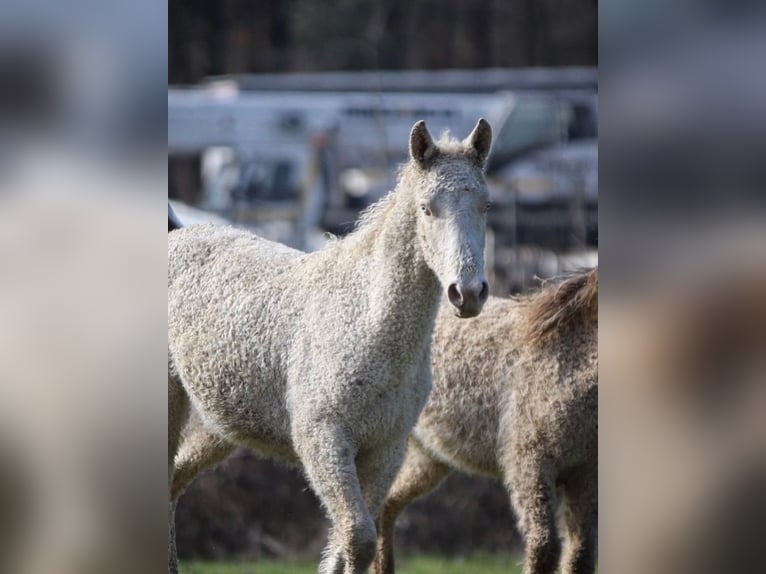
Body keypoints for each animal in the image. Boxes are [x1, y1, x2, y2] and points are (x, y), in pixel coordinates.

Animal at [167, 118, 493, 574]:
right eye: (427, 208)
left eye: (486, 206)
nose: (468, 294)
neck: (364, 321)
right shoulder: (324, 441)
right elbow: (357, 538)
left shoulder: (385, 449)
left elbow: (347, 545)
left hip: (219, 426)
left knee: (174, 481)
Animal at [374, 268, 598, 574]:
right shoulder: (529, 465)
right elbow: (543, 548)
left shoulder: (584, 477)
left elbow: (579, 555)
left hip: (428, 459)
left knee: (387, 505)